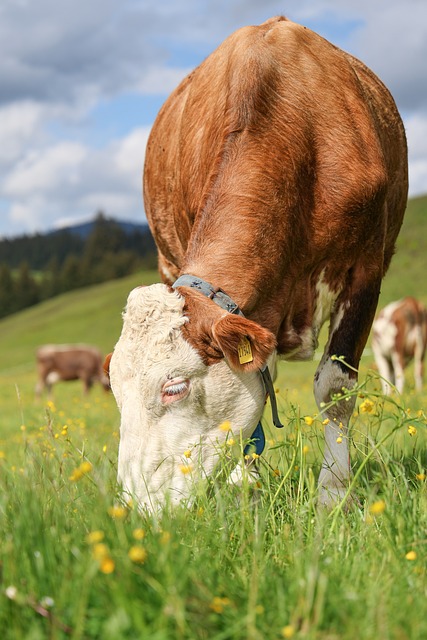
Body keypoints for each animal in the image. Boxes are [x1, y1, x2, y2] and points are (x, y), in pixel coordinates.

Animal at [106, 16, 408, 511]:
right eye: (115, 391)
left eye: (174, 388)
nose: (134, 508)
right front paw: (244, 484)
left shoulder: (366, 268)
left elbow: (335, 387)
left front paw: (333, 493)